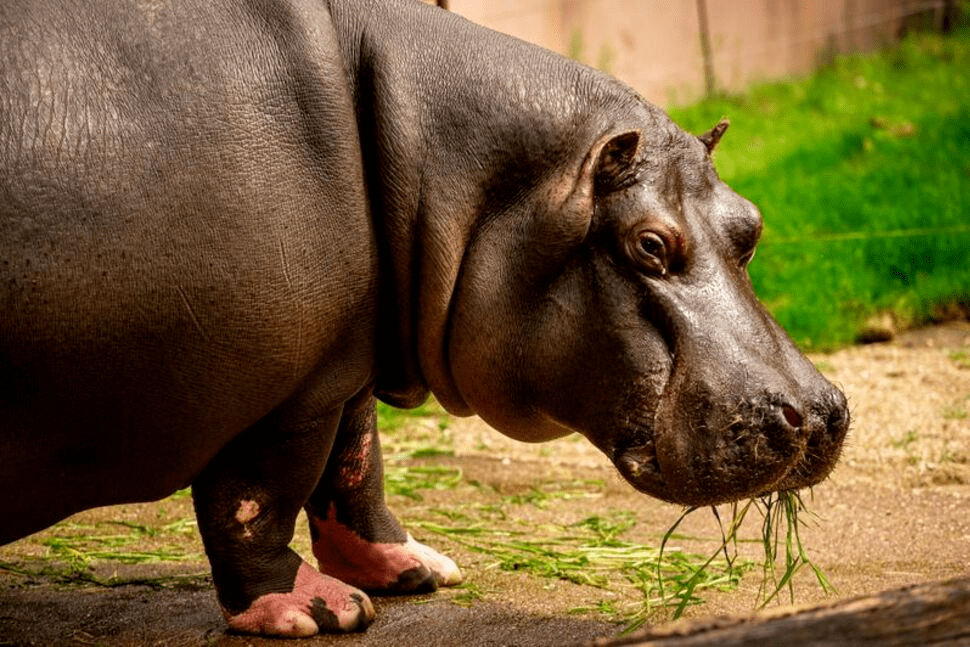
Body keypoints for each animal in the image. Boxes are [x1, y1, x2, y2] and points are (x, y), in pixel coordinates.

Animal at [0, 0, 848, 636]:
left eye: (752, 224)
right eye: (649, 243)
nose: (818, 412)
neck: (439, 159)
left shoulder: (340, 363)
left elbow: (355, 465)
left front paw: (414, 568)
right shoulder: (284, 396)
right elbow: (257, 498)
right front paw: (319, 610)